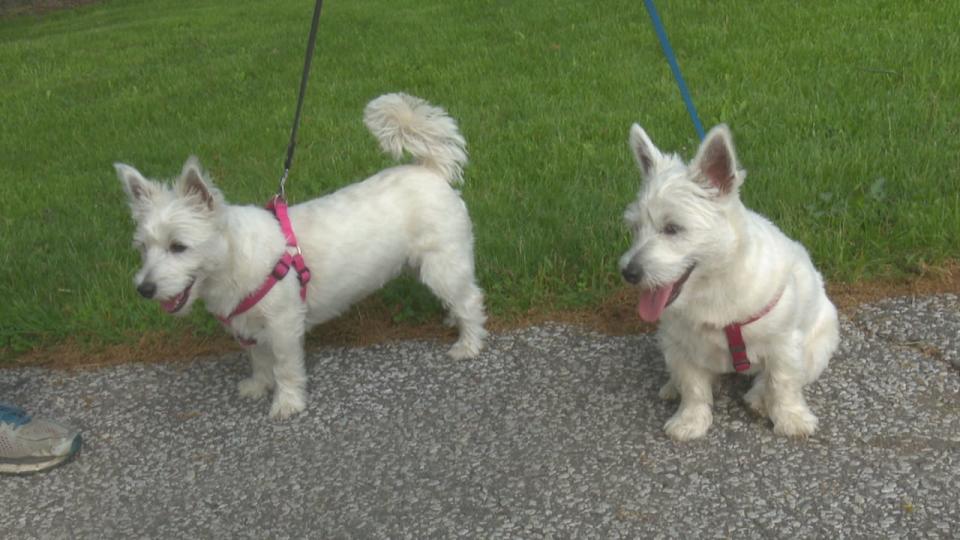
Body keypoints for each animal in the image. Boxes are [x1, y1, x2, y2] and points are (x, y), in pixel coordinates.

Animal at [118, 95, 488, 420]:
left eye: (178, 246)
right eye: (142, 247)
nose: (144, 289)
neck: (233, 262)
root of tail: (430, 170)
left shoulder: (283, 324)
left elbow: (285, 367)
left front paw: (287, 403)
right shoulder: (249, 326)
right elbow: (259, 361)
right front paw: (258, 386)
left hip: (442, 265)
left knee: (470, 299)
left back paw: (468, 344)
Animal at [620, 124, 836, 440]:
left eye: (673, 228)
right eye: (635, 228)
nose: (629, 272)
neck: (713, 286)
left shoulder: (784, 343)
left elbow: (783, 383)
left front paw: (791, 418)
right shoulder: (679, 345)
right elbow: (693, 386)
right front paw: (690, 421)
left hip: (820, 343)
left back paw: (758, 398)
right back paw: (673, 386)